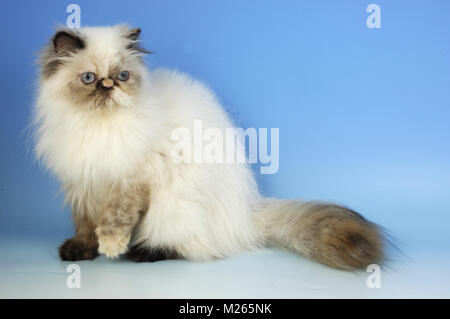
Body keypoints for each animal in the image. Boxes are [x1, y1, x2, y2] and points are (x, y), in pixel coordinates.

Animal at [34, 24, 386, 270]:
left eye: (122, 76)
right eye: (89, 78)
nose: (108, 86)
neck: (98, 127)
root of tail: (247, 216)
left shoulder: (131, 182)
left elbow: (115, 220)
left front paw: (111, 247)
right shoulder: (82, 183)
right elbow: (85, 226)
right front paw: (81, 250)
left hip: (178, 208)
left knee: (188, 245)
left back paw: (144, 253)